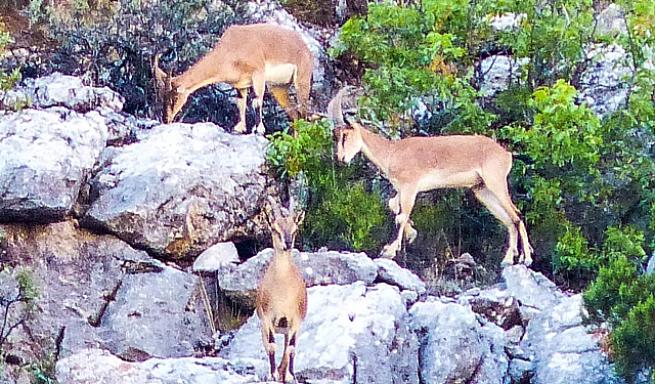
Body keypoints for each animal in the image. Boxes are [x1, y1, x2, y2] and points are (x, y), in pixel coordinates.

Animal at [152, 23, 314, 135]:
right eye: (161, 97)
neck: (231, 47)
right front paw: (239, 128)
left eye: (175, 96)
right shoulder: (240, 85)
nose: (166, 119)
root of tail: (305, 48)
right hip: (278, 88)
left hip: (302, 81)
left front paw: (259, 130)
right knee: (295, 116)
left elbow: (257, 102)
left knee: (303, 114)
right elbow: (240, 103)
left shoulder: (258, 73)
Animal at [256, 196, 308, 382]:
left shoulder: (295, 320)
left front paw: (291, 376)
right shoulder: (268, 319)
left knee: (287, 350)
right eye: (274, 228)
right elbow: (272, 346)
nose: (288, 243)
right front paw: (272, 374)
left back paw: (283, 372)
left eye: (295, 229)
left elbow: (291, 349)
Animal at [328, 87, 532, 268]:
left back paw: (526, 259)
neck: (392, 152)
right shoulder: (402, 189)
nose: (341, 159)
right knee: (509, 219)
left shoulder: (410, 187)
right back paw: (508, 259)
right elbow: (394, 207)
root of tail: (505, 154)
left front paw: (389, 251)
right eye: (335, 136)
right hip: (482, 190)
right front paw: (410, 235)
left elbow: (401, 216)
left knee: (517, 215)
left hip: (495, 182)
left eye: (345, 135)